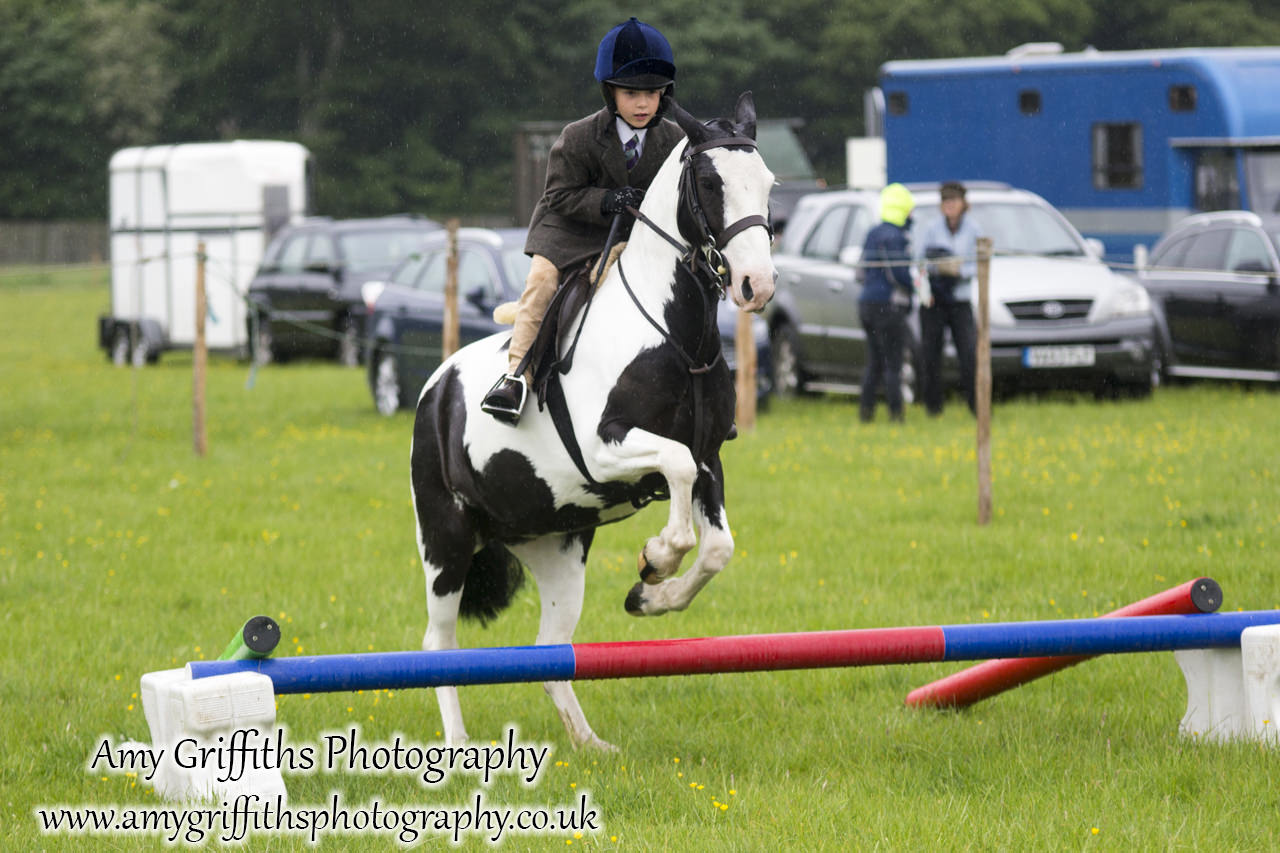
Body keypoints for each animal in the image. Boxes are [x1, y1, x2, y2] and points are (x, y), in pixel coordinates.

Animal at [409, 91, 773, 742]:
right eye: (709, 182)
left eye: (768, 184)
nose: (759, 285)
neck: (675, 335)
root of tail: (436, 387)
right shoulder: (609, 449)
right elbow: (675, 473)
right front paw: (658, 556)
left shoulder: (710, 457)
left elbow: (716, 547)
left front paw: (649, 594)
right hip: (444, 539)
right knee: (438, 645)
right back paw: (455, 745)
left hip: (554, 542)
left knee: (550, 650)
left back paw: (589, 745)